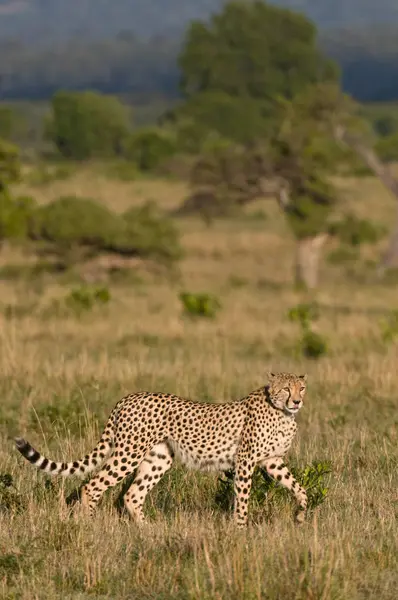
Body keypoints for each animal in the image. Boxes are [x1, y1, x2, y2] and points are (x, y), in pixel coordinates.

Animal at [14, 372, 308, 528]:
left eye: (302, 387)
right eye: (286, 388)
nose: (297, 401)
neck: (282, 412)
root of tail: (127, 397)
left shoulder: (272, 460)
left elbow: (300, 489)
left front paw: (301, 516)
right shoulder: (245, 460)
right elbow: (243, 498)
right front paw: (241, 530)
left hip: (159, 458)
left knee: (132, 495)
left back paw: (148, 530)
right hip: (129, 452)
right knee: (92, 485)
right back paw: (90, 524)